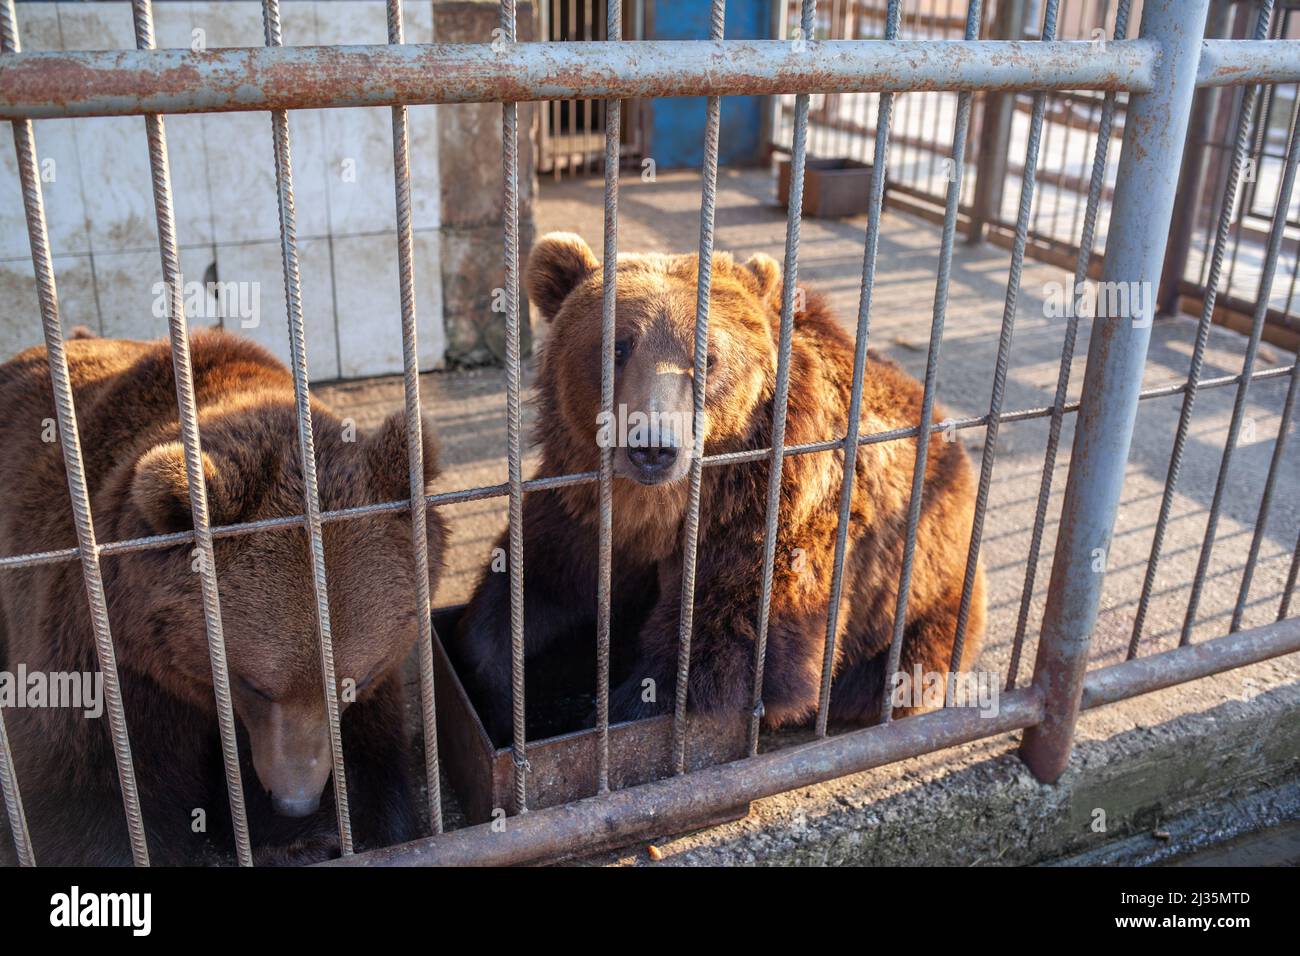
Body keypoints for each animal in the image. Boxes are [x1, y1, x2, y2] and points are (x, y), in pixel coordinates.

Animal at [0, 329, 444, 868]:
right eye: (253, 684)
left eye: (353, 682)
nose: (295, 798)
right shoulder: (99, 643)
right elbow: (85, 786)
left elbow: (369, 764)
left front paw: (313, 837)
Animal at [457, 234, 982, 749]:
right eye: (617, 347)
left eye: (706, 357)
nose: (653, 445)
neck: (654, 512)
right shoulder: (579, 506)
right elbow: (534, 588)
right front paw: (505, 699)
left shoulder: (770, 516)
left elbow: (723, 646)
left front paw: (615, 714)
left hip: (922, 593)